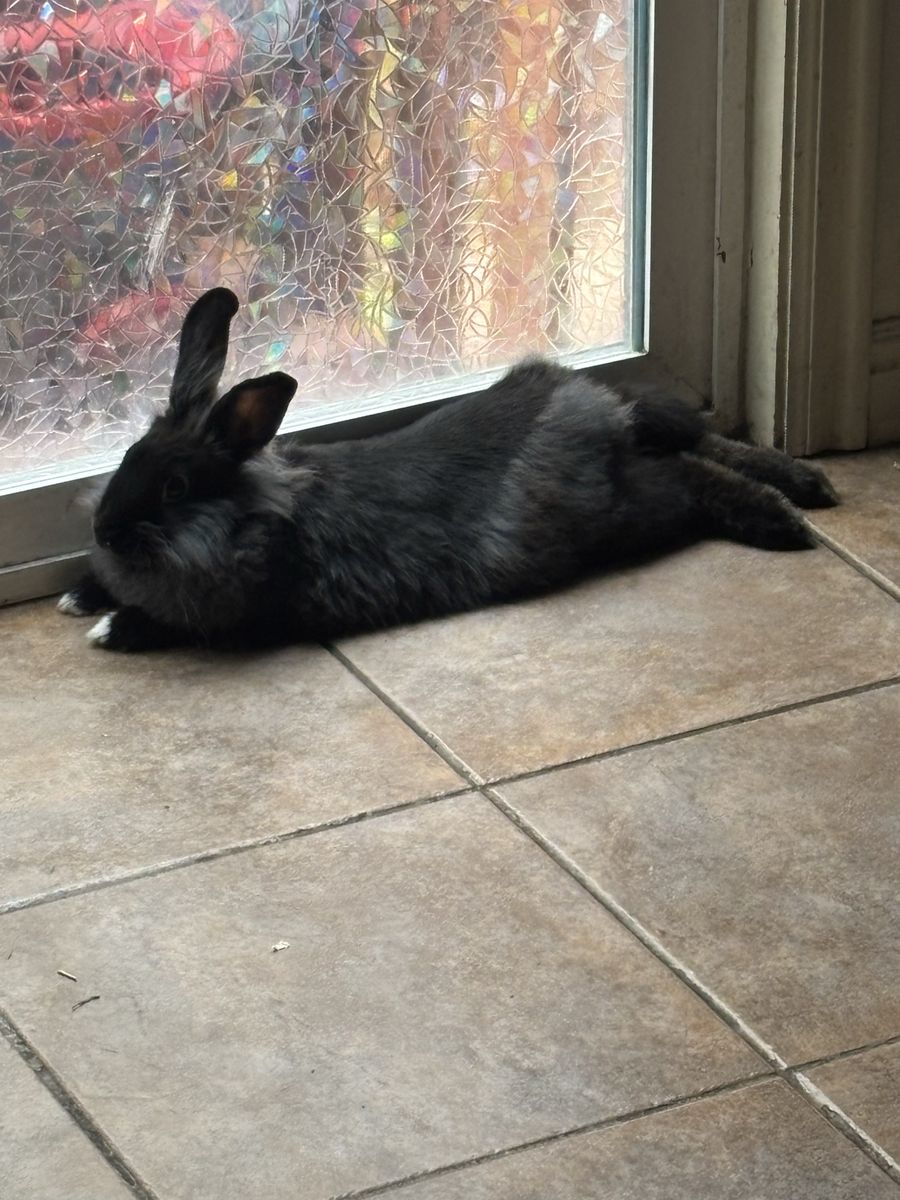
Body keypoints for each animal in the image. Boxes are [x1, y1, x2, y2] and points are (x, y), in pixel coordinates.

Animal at [58, 287, 839, 652]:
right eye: (128, 458)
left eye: (176, 488)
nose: (104, 530)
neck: (245, 514)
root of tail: (596, 409)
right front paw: (78, 596)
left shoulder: (243, 614)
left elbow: (177, 625)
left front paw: (112, 629)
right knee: (697, 441)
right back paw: (805, 488)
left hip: (628, 509)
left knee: (693, 478)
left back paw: (783, 519)